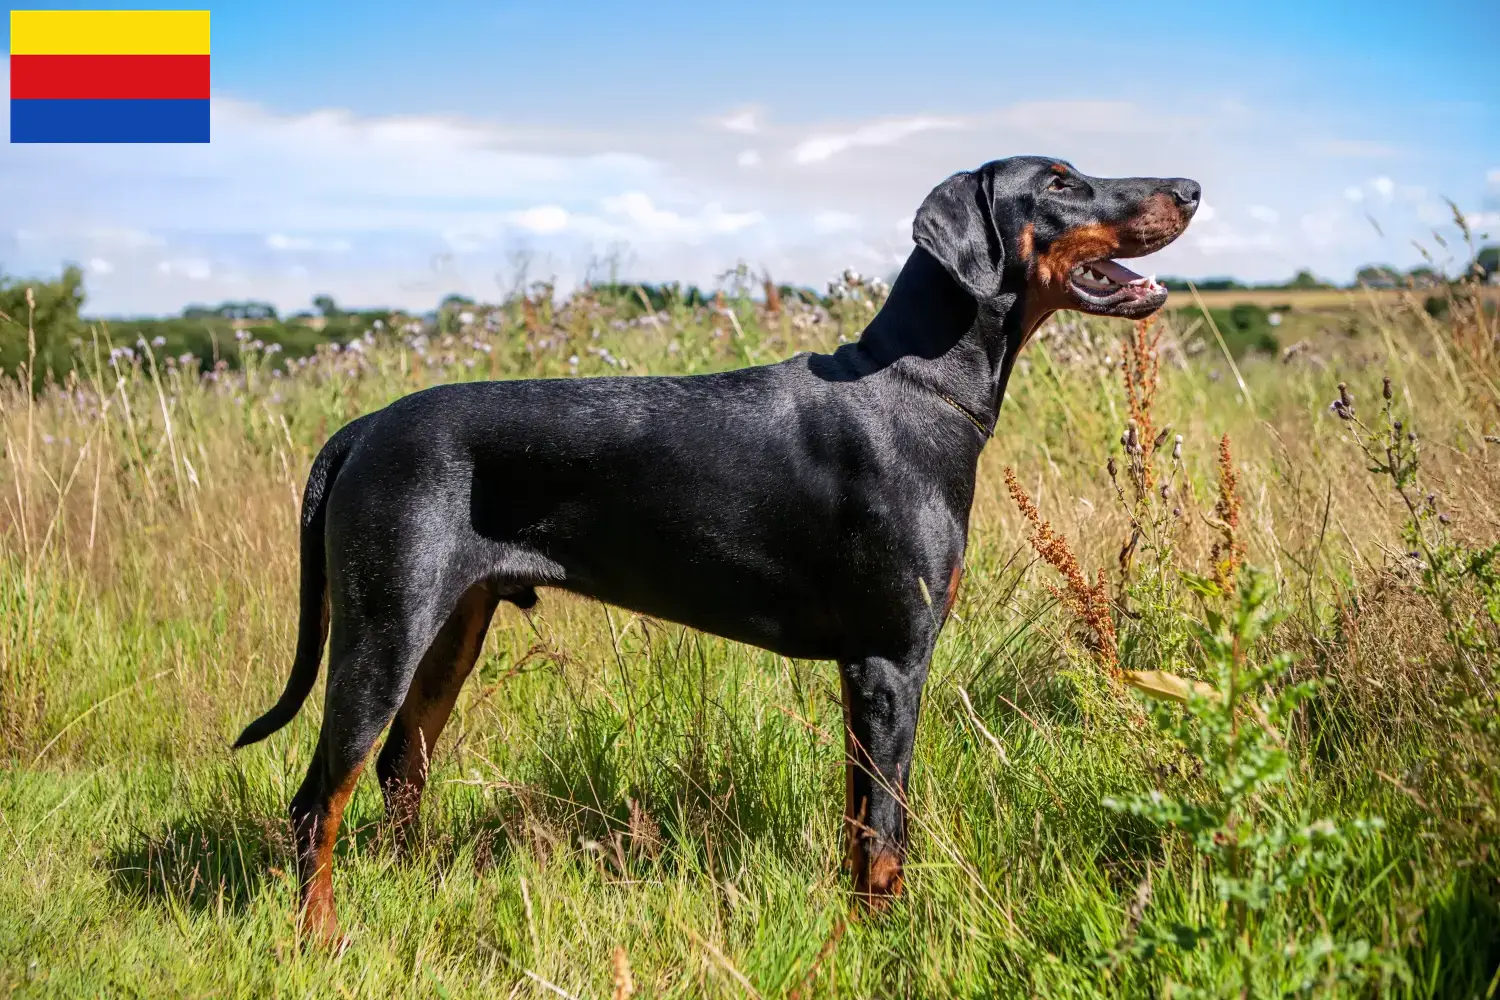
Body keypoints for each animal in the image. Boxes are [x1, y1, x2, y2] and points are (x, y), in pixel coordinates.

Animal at [231, 154, 1194, 941]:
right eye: (1061, 182)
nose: (1189, 187)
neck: (919, 383)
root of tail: (360, 430)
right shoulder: (893, 659)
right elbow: (887, 833)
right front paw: (888, 945)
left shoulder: (861, 670)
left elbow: (860, 823)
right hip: (384, 631)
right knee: (317, 802)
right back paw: (321, 939)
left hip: (452, 629)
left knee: (401, 767)